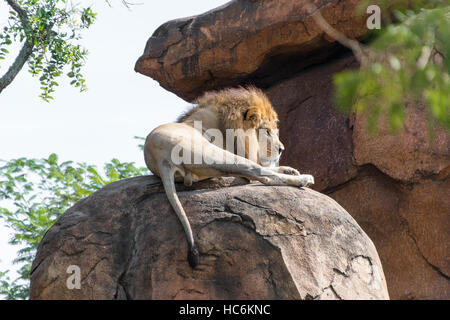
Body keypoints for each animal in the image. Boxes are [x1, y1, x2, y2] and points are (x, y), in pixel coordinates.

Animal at [144, 85, 312, 268]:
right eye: (267, 131)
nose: (282, 149)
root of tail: (160, 157)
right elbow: (261, 167)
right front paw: (294, 173)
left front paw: (290, 169)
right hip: (214, 153)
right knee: (258, 173)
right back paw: (303, 179)